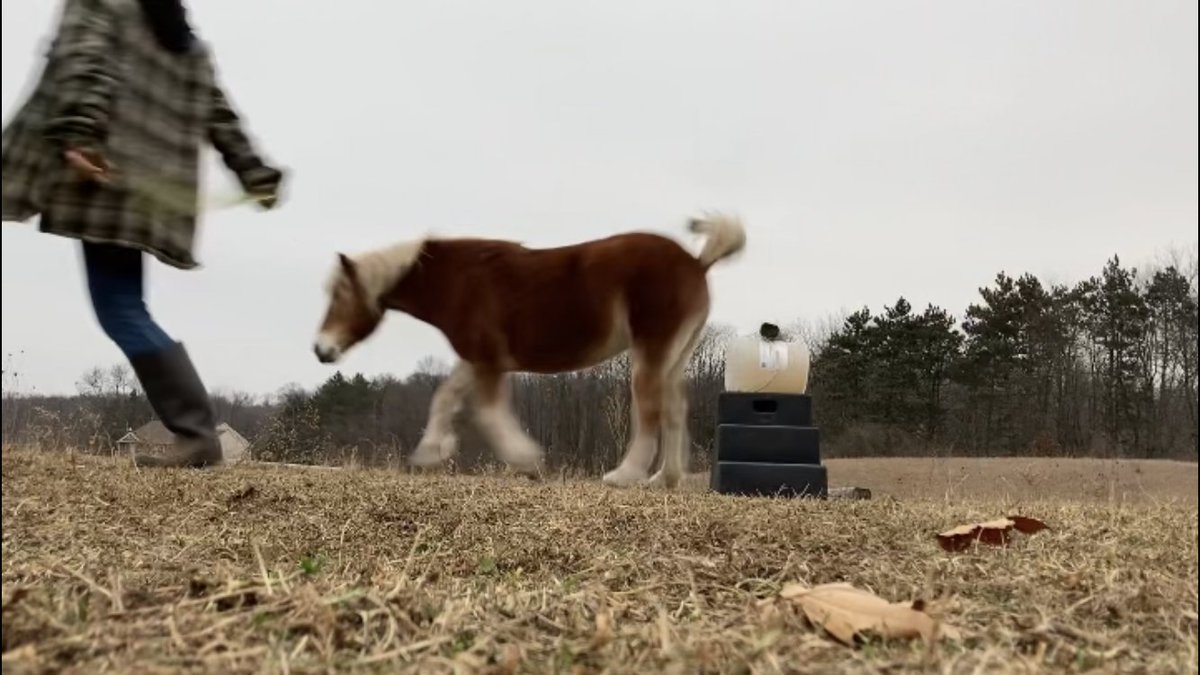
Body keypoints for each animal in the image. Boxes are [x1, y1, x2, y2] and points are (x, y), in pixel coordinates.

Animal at [313, 213, 746, 489]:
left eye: (339, 296)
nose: (321, 350)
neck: (457, 280)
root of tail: (696, 261)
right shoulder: (478, 358)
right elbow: (445, 397)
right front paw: (431, 453)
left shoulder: (487, 360)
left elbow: (486, 413)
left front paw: (526, 461)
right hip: (674, 357)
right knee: (674, 410)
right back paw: (663, 479)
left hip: (649, 354)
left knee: (652, 410)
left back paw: (624, 476)